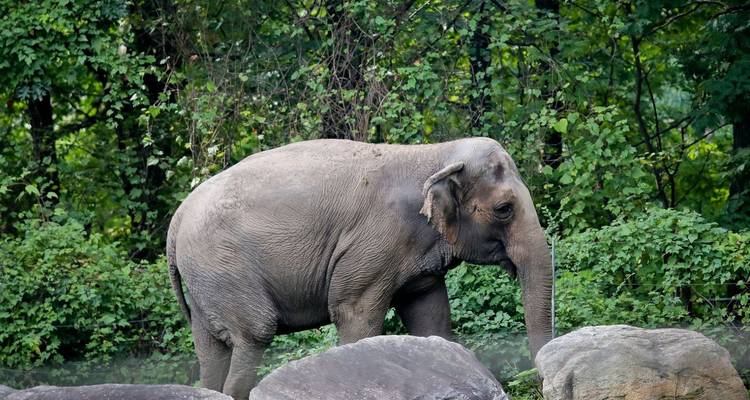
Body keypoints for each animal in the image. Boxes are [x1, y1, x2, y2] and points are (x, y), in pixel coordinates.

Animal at [167, 137, 552, 399]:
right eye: (504, 209)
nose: (538, 383)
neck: (434, 153)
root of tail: (178, 217)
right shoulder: (373, 245)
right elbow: (355, 314)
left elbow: (431, 317)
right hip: (224, 267)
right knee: (254, 334)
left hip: (205, 281)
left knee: (210, 350)